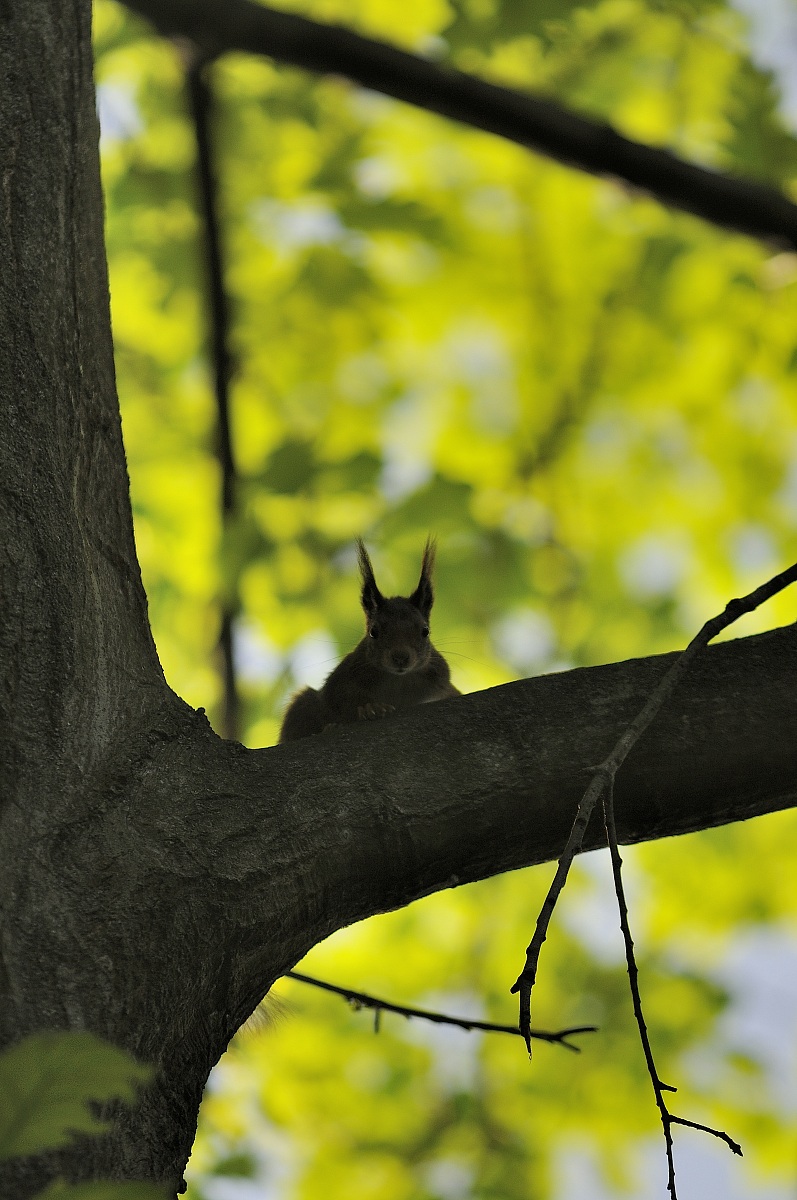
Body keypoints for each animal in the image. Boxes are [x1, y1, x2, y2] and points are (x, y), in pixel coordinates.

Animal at [279, 538, 460, 742]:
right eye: (374, 632)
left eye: (425, 631)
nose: (400, 657)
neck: (396, 679)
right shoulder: (341, 680)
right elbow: (340, 703)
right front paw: (370, 708)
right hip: (302, 705)